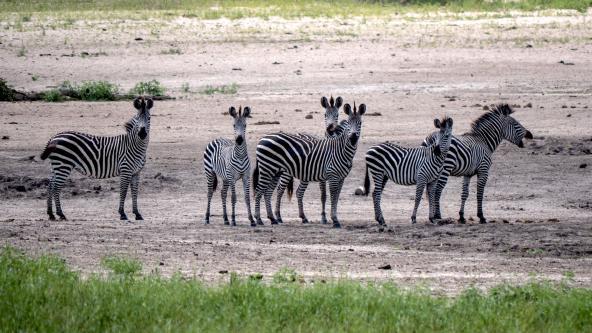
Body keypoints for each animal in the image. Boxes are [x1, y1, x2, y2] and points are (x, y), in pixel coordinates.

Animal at [274, 94, 346, 223]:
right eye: (325, 115)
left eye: (337, 115)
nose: (330, 130)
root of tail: (298, 133)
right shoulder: (323, 177)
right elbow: (323, 195)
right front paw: (323, 217)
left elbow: (333, 196)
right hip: (287, 172)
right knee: (280, 190)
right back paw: (278, 216)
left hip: (304, 175)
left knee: (298, 192)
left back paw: (303, 217)